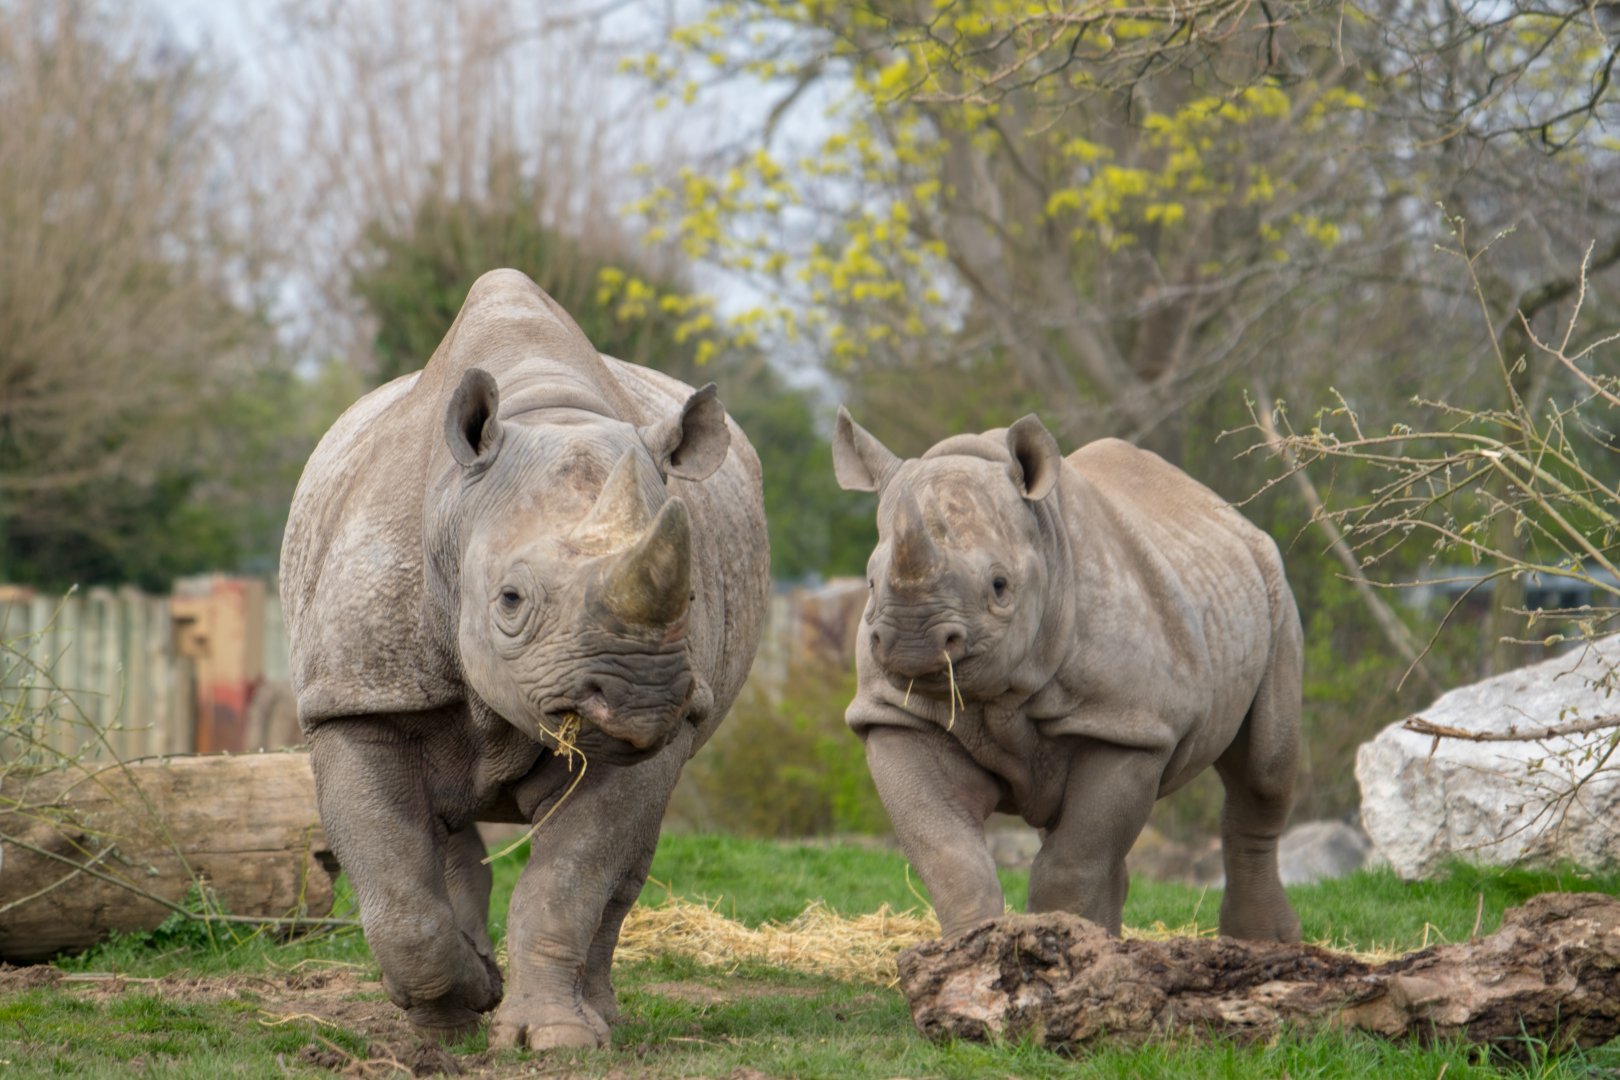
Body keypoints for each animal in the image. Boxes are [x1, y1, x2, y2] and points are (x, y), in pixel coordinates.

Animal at [279, 269, 769, 1049]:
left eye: (691, 595)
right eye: (509, 600)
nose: (638, 697)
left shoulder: (649, 739)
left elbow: (568, 881)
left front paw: (555, 1037)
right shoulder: (358, 696)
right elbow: (396, 886)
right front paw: (457, 1007)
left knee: (623, 868)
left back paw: (599, 1014)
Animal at [832, 409, 1302, 943]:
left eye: (999, 586)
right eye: (871, 583)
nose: (912, 642)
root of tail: (1229, 515)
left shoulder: (1127, 725)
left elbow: (1073, 860)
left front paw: (1058, 944)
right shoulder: (895, 713)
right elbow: (949, 854)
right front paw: (976, 952)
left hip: (1275, 590)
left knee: (1263, 773)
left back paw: (1266, 942)